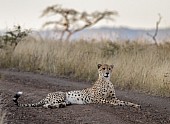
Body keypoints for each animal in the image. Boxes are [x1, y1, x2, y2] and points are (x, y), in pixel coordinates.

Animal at [12, 64, 141, 108]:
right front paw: (117, 104)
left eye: (109, 68)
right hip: (61, 95)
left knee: (51, 104)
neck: (107, 81)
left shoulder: (113, 97)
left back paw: (60, 105)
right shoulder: (99, 99)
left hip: (64, 100)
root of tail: (47, 94)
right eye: (103, 68)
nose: (107, 73)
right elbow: (110, 101)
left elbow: (125, 101)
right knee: (45, 105)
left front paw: (135, 105)